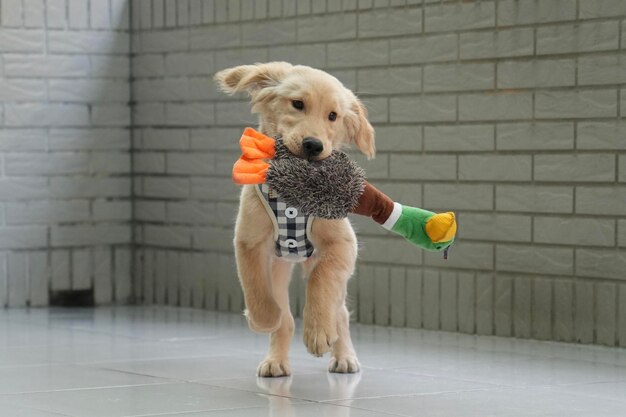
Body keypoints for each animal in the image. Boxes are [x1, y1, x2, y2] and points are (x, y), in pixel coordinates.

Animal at [214, 61, 372, 376]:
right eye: (297, 104)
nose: (313, 145)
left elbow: (321, 281)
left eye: (333, 116)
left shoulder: (342, 245)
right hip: (278, 266)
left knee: (340, 312)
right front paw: (263, 319)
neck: (293, 199)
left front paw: (318, 331)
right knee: (284, 317)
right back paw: (276, 359)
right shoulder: (249, 242)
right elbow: (256, 286)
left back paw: (343, 355)